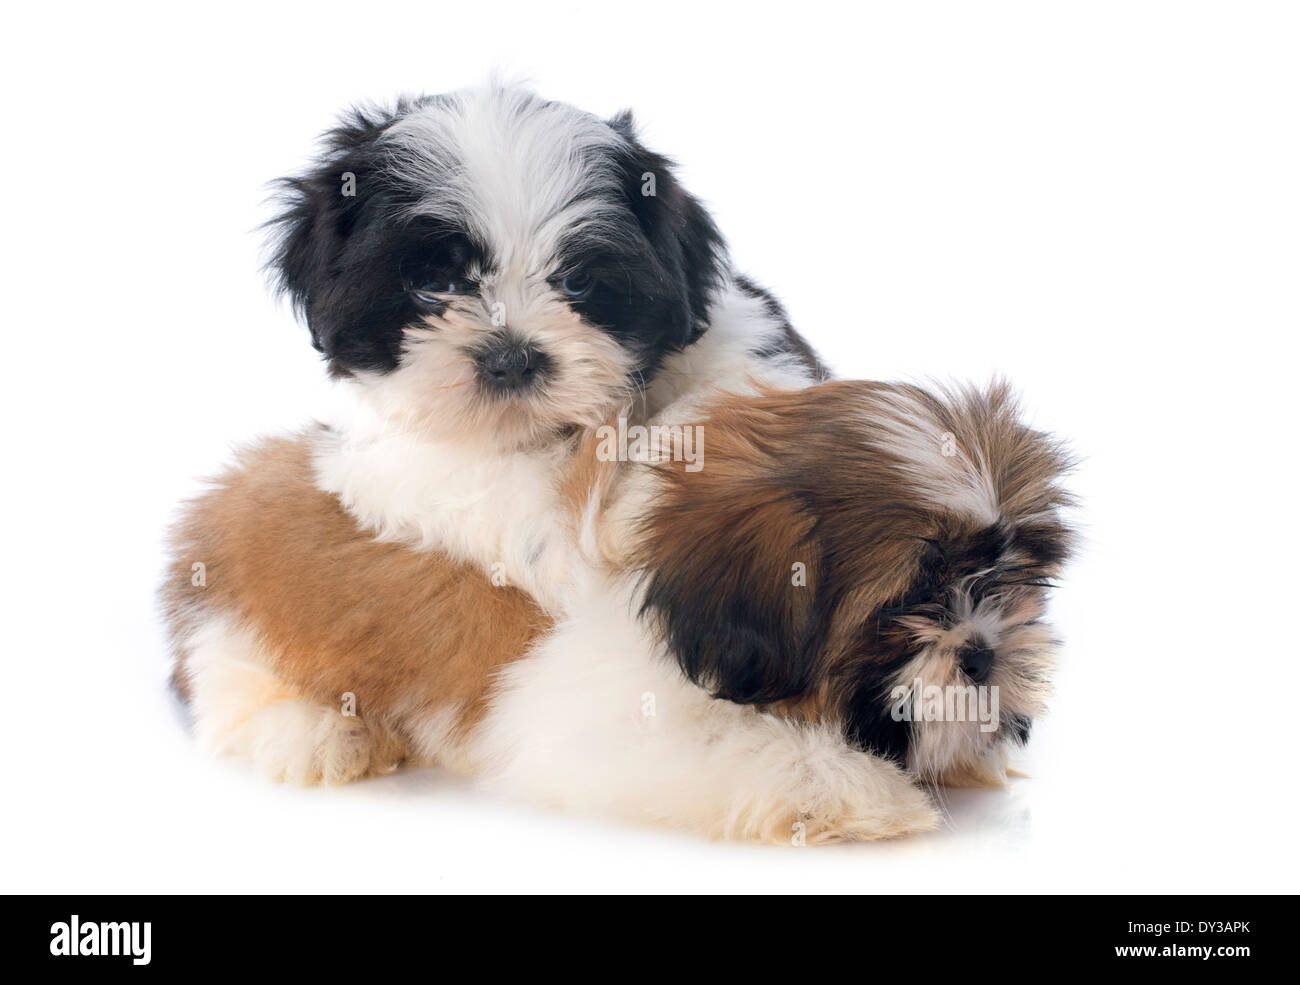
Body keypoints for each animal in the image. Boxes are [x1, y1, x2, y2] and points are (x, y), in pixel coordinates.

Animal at [167, 376, 1071, 847]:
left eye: (1007, 578)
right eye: (912, 599)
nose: (983, 651)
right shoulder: (593, 717)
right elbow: (746, 751)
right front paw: (862, 791)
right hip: (249, 634)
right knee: (236, 693)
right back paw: (323, 734)